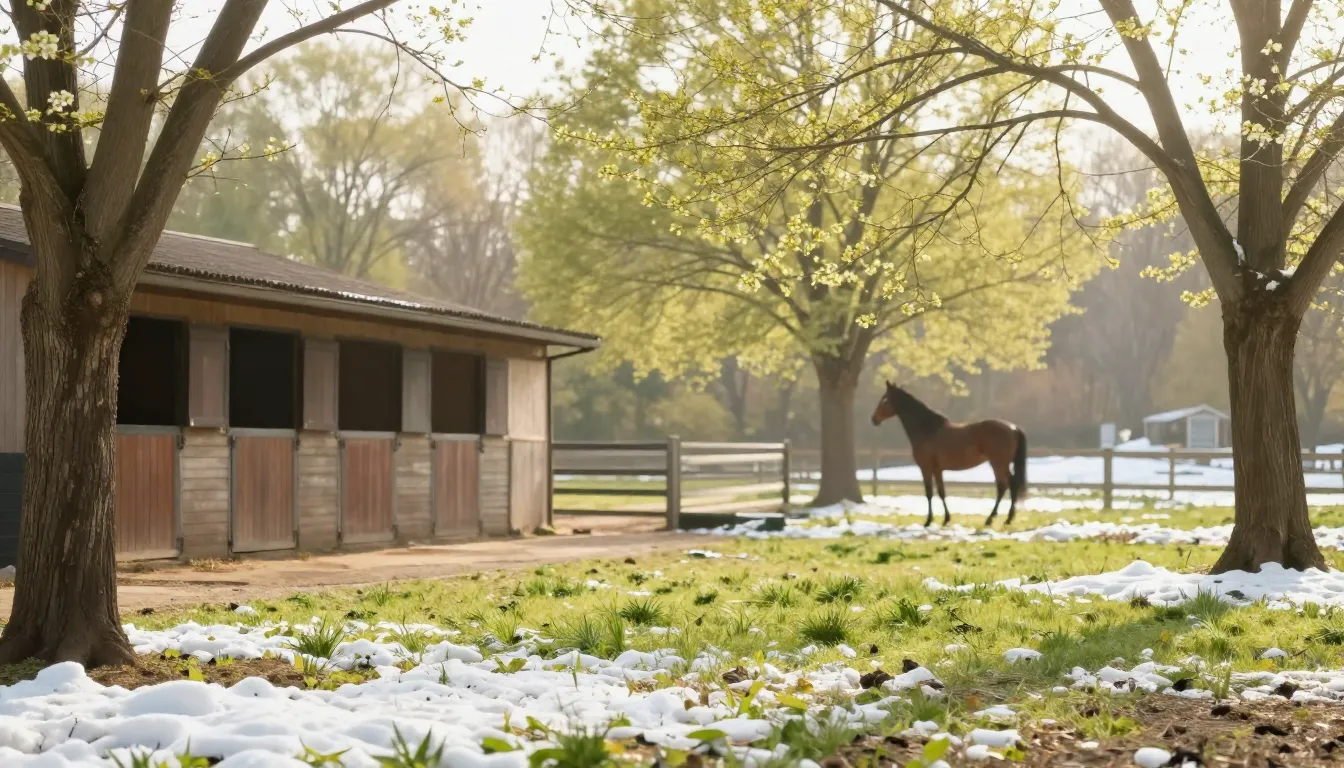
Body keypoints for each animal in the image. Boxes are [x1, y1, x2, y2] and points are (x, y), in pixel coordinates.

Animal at [870, 382, 1028, 527]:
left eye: (885, 399)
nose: (874, 419)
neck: (927, 429)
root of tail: (1013, 428)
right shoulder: (937, 469)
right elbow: (941, 492)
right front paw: (946, 519)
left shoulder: (926, 468)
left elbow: (929, 493)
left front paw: (928, 521)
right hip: (999, 464)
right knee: (1007, 486)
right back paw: (1003, 518)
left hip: (998, 463)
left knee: (1006, 485)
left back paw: (996, 519)